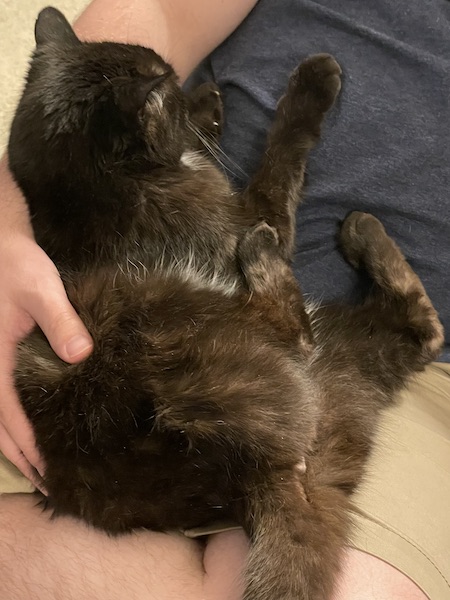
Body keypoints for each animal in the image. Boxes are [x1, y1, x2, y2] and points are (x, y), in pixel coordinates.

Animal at [8, 5, 444, 600]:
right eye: (166, 86)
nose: (188, 83)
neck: (88, 196)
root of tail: (251, 473)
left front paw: (209, 104)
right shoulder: (251, 211)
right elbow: (280, 160)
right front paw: (308, 85)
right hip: (180, 318)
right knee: (352, 329)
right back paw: (336, 235)